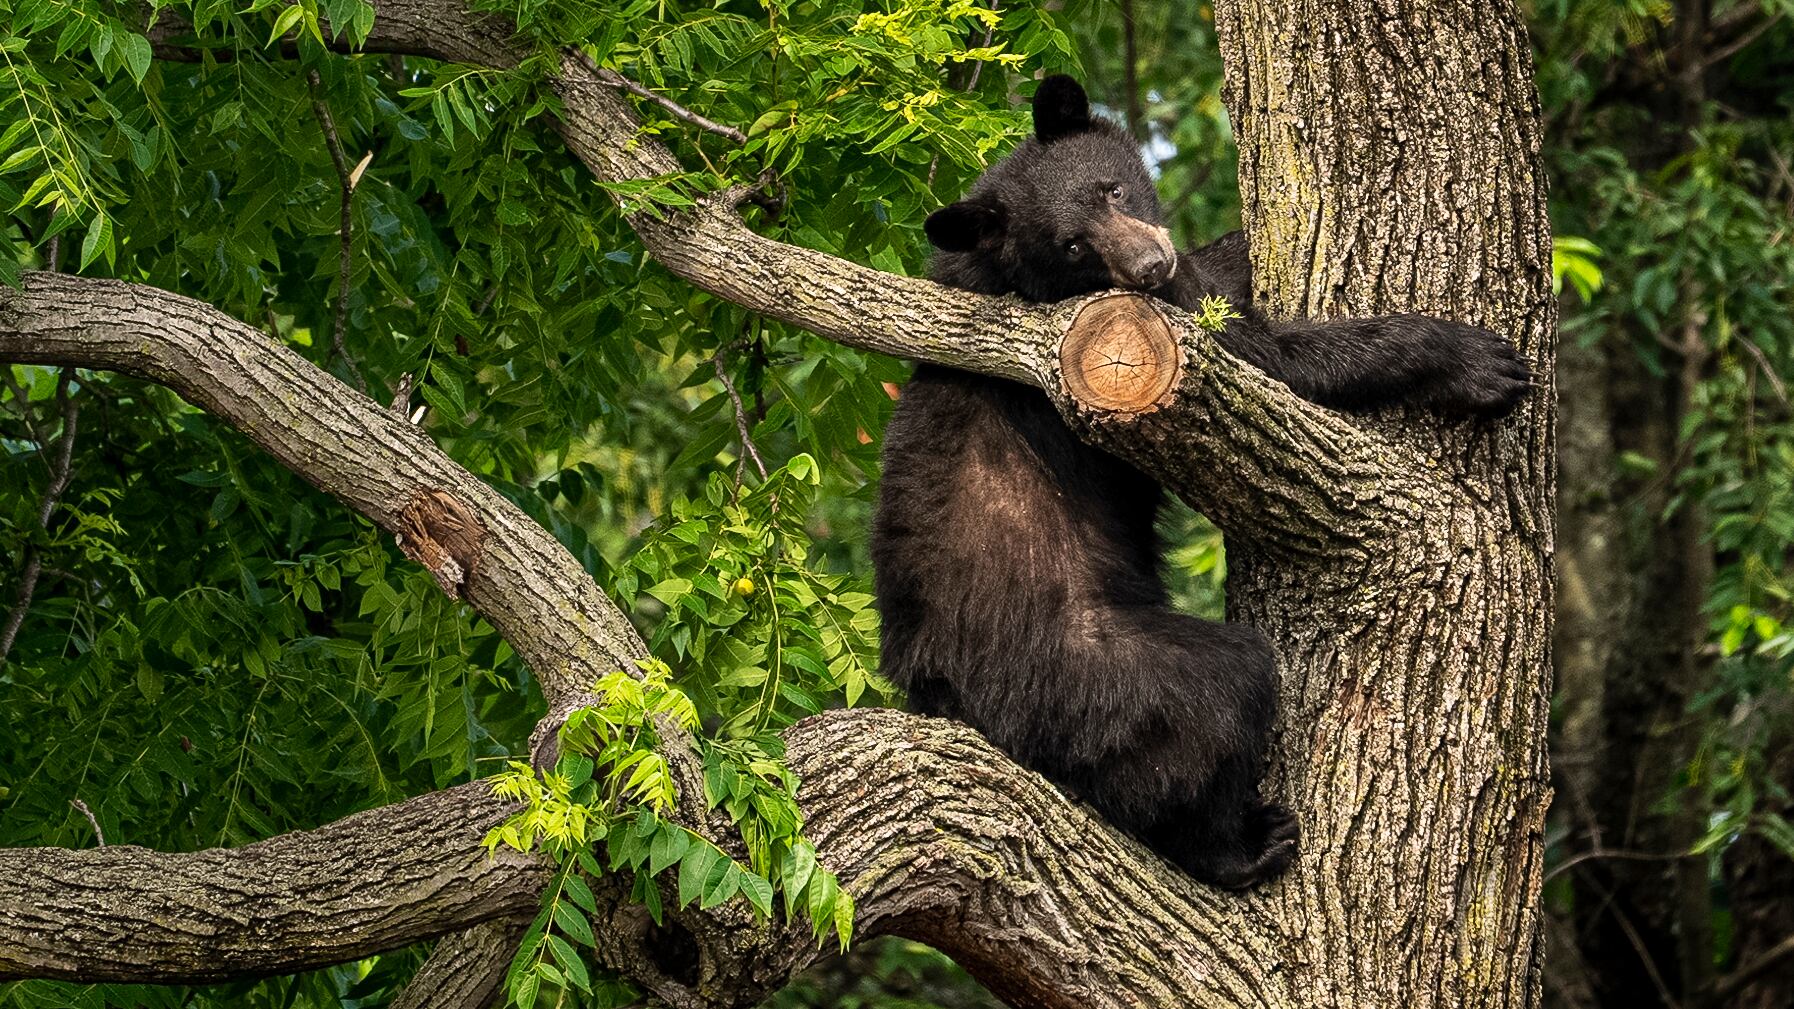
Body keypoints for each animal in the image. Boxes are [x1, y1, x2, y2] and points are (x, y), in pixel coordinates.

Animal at [869, 75, 1532, 890]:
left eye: (1115, 188)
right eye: (1073, 245)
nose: (1149, 265)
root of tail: (939, 693)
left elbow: (1216, 282)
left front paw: (1231, 245)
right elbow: (1272, 363)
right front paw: (1476, 362)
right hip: (1089, 670)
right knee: (1215, 698)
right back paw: (1243, 842)